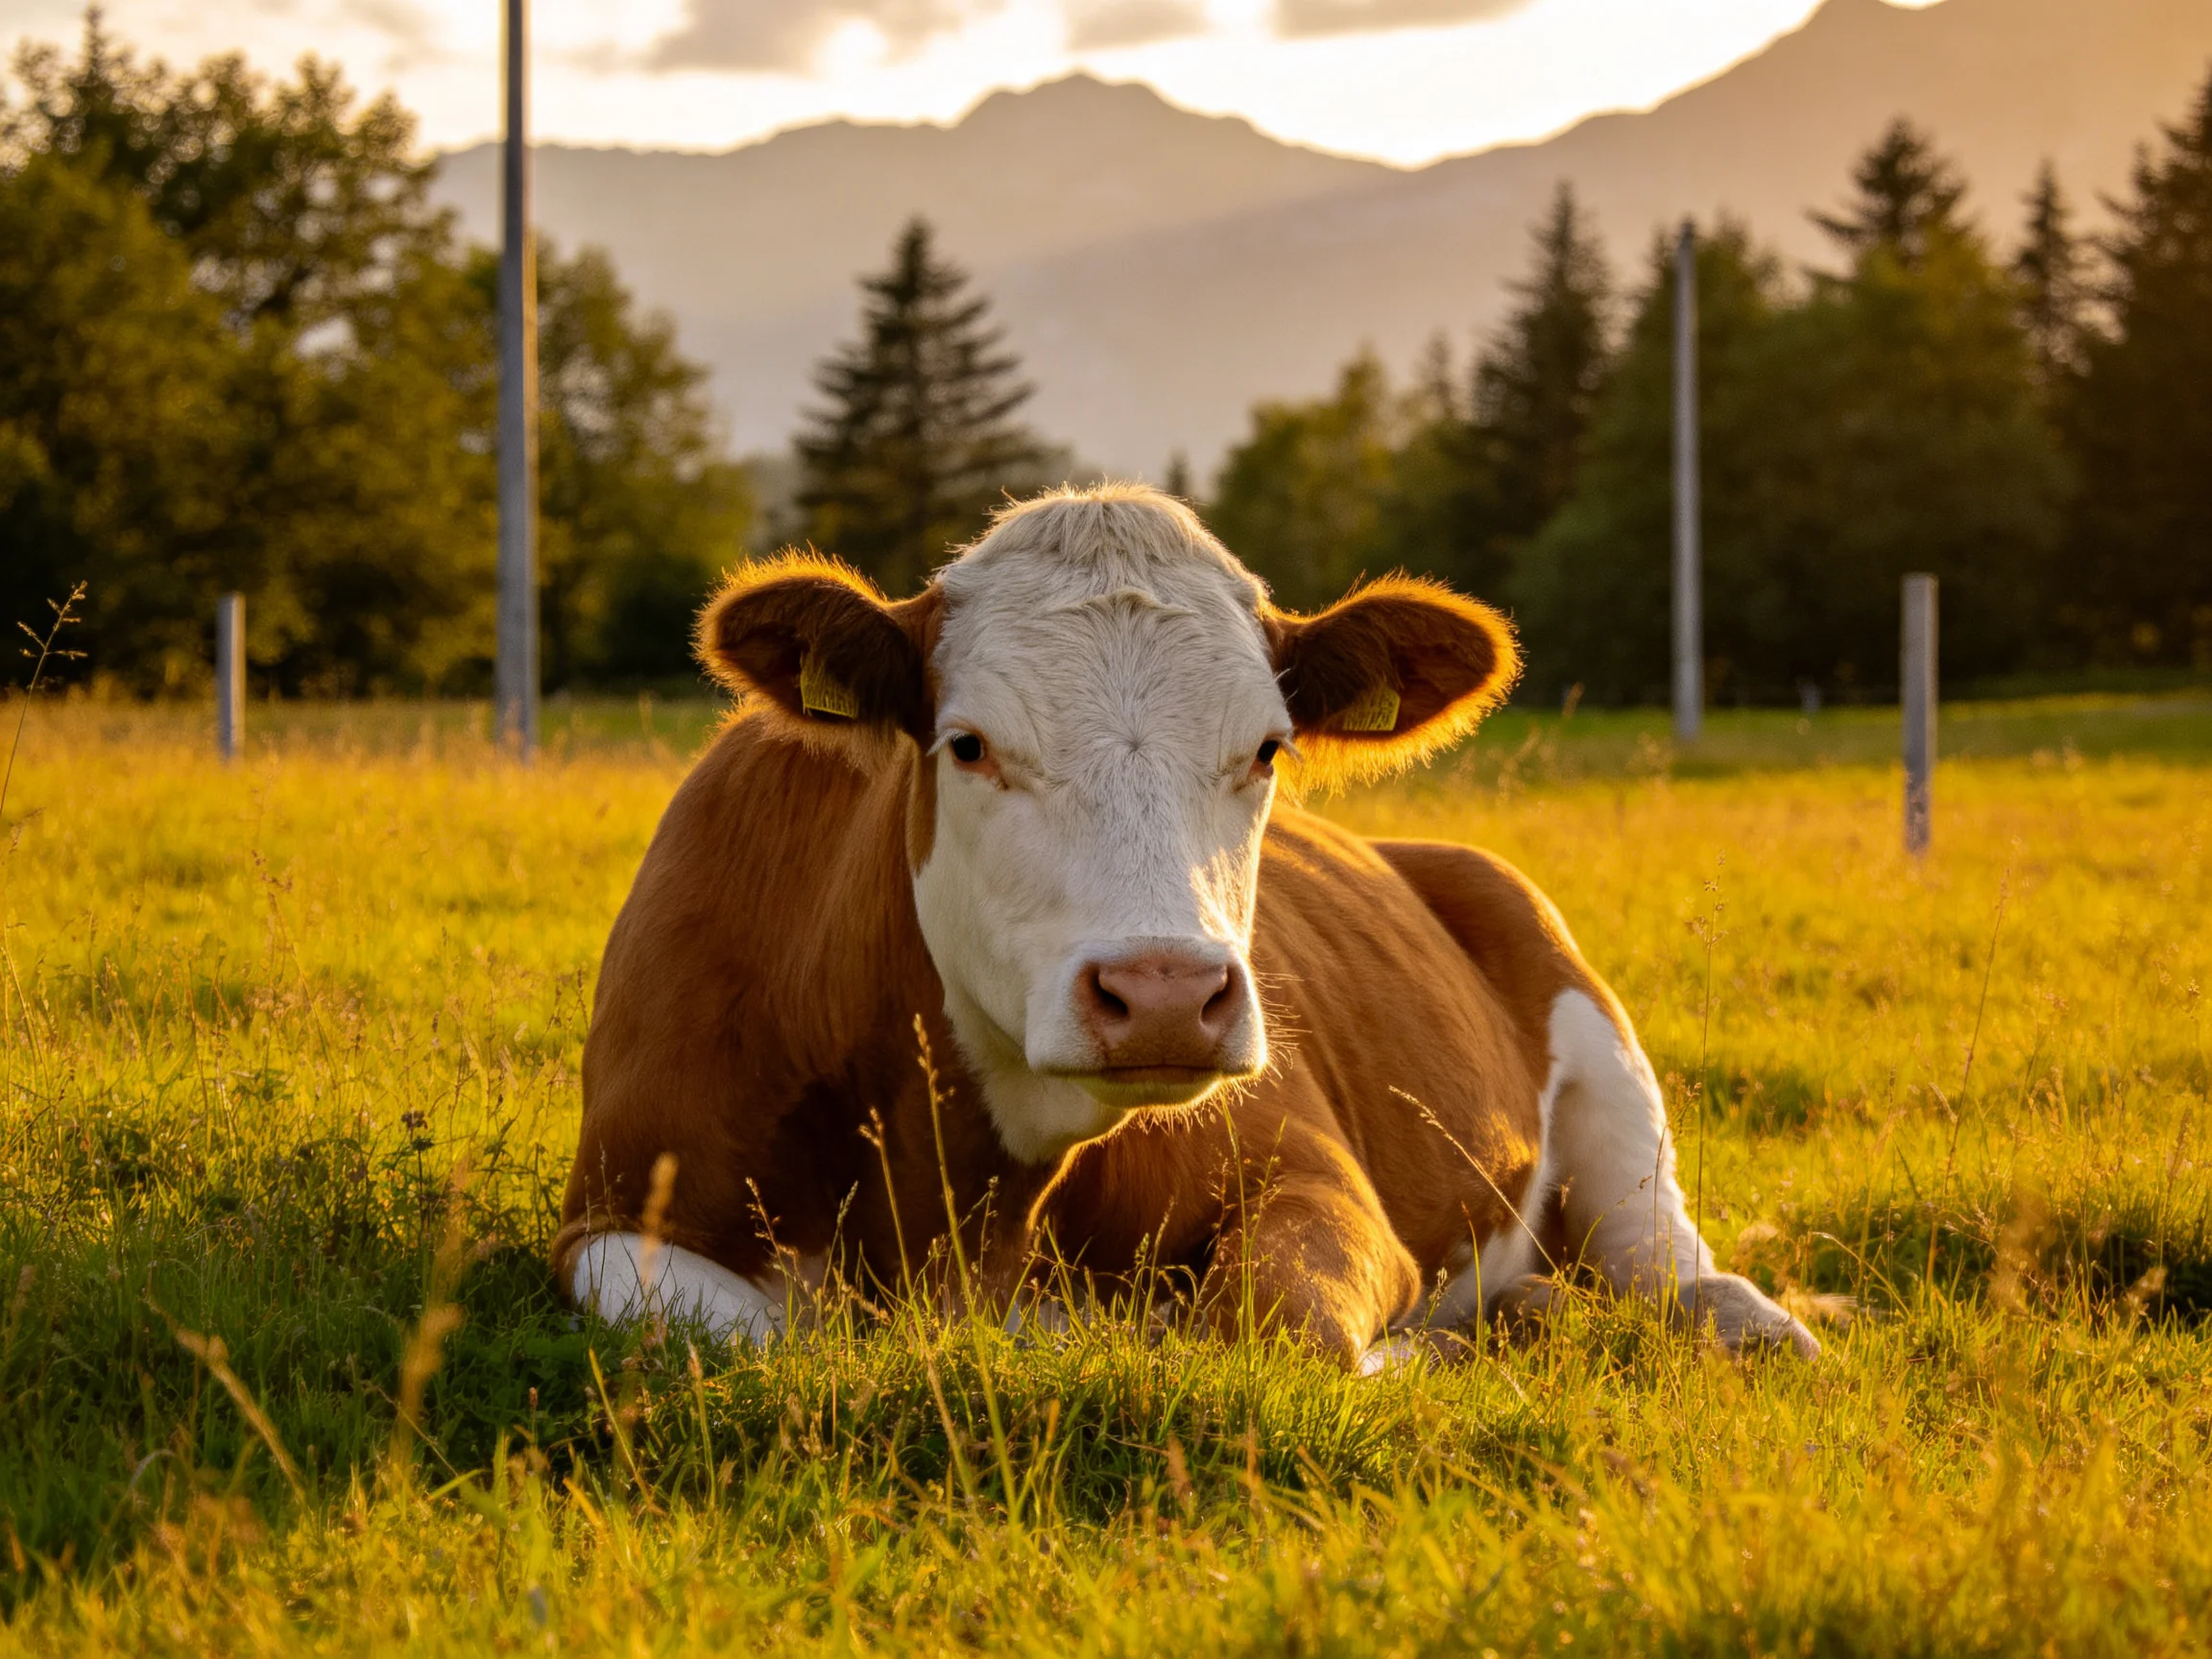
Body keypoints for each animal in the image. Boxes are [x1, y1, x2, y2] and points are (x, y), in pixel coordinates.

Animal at [552, 483, 1818, 1367]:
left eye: (1267, 749)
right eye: (968, 744)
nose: (1164, 994)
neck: (967, 1204)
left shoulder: (1316, 1175)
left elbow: (1282, 1329)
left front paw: (1437, 1345)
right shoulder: (613, 1211)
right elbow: (726, 1335)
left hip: (1600, 1052)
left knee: (1670, 1260)